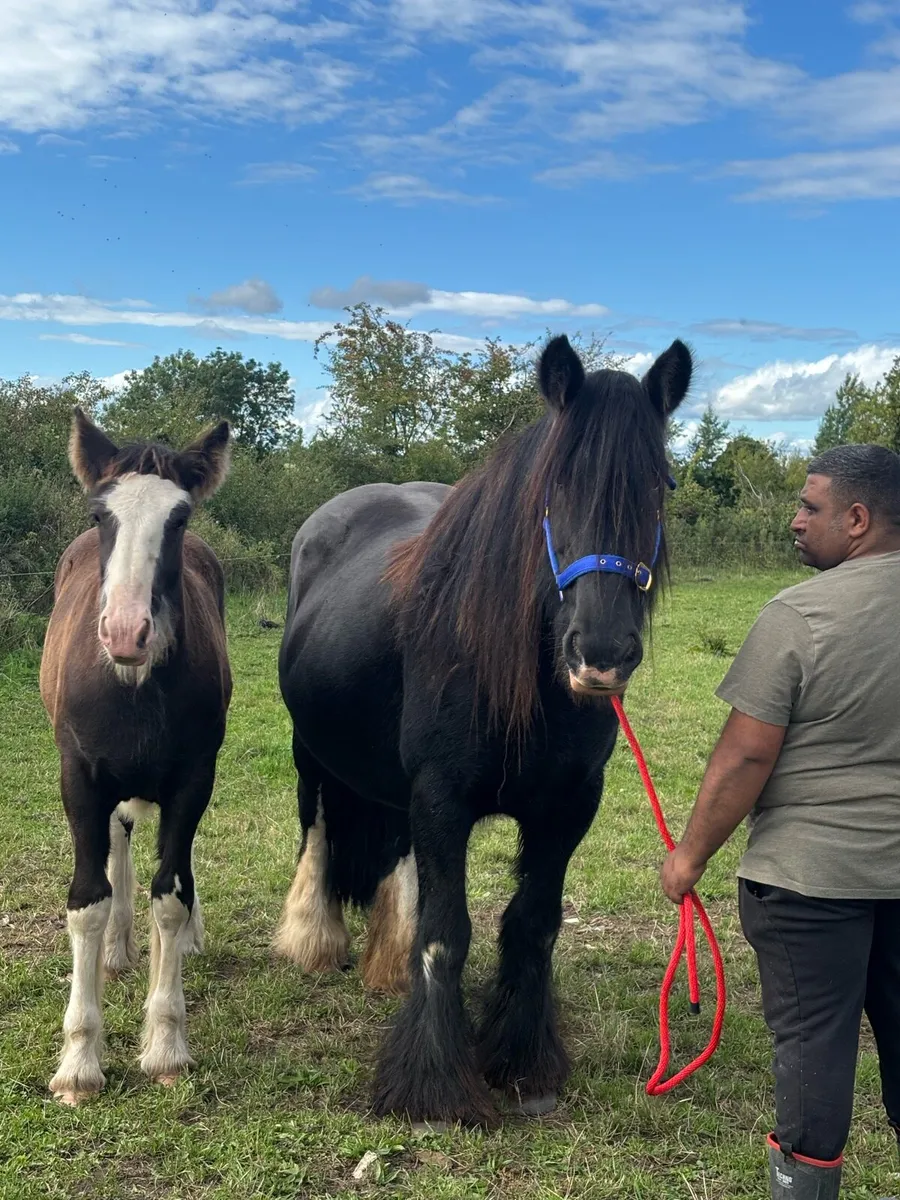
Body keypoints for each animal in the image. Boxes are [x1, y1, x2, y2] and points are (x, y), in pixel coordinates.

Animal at [39, 409, 233, 1105]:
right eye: (102, 515)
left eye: (179, 519)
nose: (126, 632)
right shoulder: (79, 778)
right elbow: (88, 902)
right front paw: (79, 1061)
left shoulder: (193, 777)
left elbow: (171, 894)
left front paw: (167, 1044)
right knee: (120, 838)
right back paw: (121, 945)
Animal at [274, 333, 692, 1127]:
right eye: (553, 490)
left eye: (660, 488)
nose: (602, 653)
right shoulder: (442, 799)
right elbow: (447, 934)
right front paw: (434, 1083)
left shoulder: (568, 806)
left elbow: (532, 924)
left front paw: (523, 1060)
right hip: (312, 752)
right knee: (317, 827)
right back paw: (313, 939)